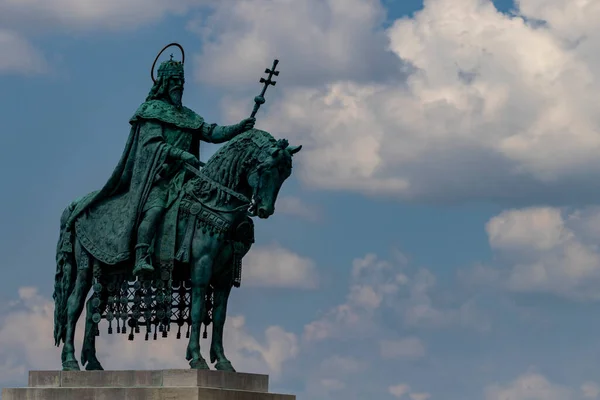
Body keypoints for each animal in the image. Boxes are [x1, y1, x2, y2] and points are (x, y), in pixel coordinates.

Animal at [54, 129, 302, 372]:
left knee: (92, 307)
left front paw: (222, 361)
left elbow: (220, 316)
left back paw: (93, 361)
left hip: (111, 274)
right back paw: (70, 361)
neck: (215, 201)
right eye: (265, 168)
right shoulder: (201, 265)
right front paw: (197, 358)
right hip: (85, 267)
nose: (264, 210)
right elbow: (197, 309)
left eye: (285, 174)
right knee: (74, 305)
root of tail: (76, 204)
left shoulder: (224, 275)